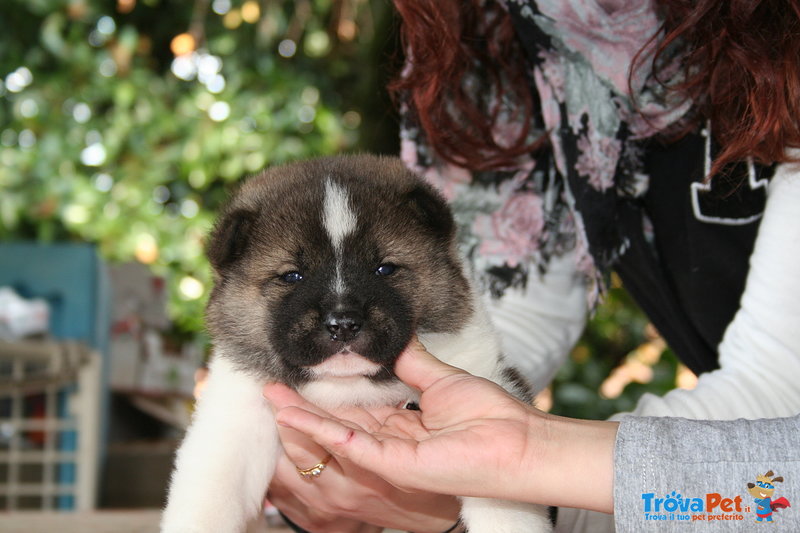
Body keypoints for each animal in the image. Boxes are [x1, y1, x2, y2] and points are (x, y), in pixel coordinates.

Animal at [161, 154, 552, 532]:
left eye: (385, 269)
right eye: (292, 276)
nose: (343, 324)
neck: (347, 386)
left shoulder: (485, 369)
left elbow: (498, 498)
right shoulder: (235, 417)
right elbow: (210, 497)